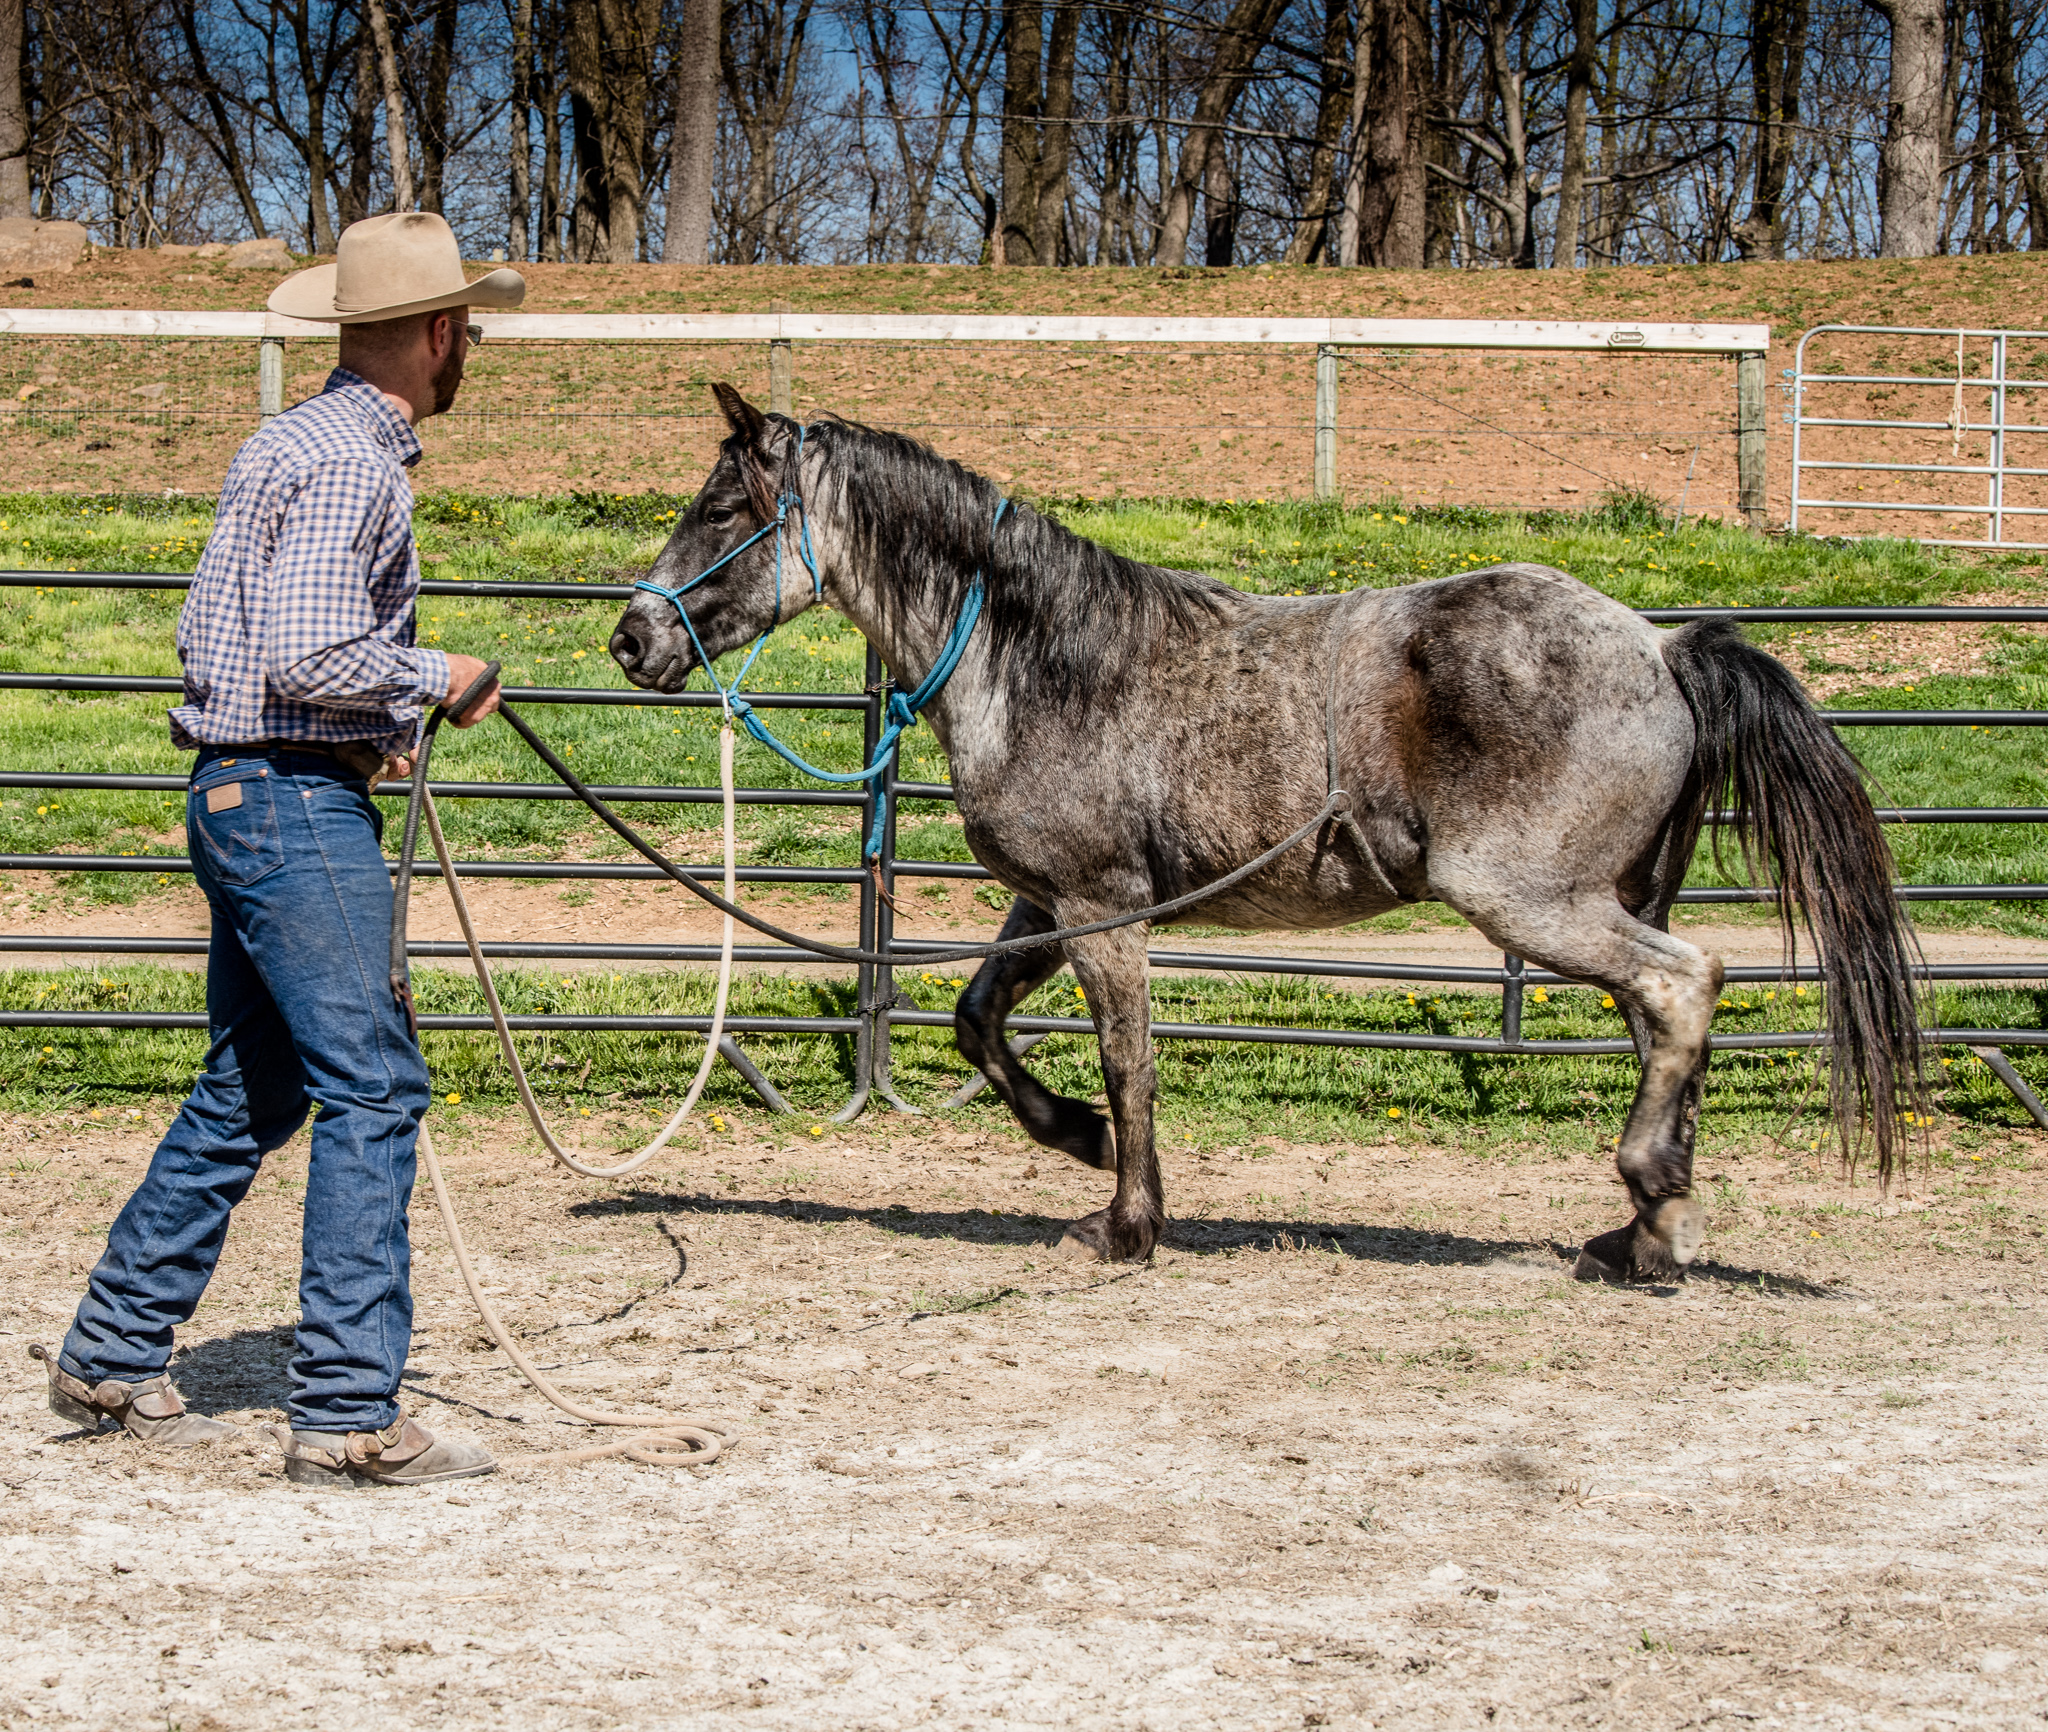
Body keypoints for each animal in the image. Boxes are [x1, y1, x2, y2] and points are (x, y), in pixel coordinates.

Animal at [606, 386, 1916, 1285]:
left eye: (719, 508)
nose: (630, 638)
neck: (1040, 660)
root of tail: (1657, 644)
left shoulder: (1101, 909)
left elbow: (1128, 1058)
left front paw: (1127, 1220)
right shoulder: (1050, 902)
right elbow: (978, 1018)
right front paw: (1077, 1141)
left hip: (1530, 901)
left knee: (1687, 986)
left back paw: (1652, 1208)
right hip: (1612, 897)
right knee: (1661, 1016)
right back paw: (1641, 1228)